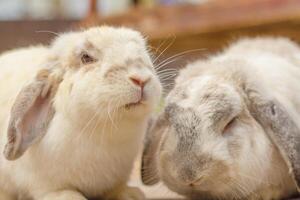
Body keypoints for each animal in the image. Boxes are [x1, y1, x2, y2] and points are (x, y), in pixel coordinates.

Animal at [0, 25, 162, 199]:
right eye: (86, 57)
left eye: (143, 51)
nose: (141, 79)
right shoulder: (47, 186)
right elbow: (64, 193)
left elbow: (117, 189)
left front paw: (131, 194)